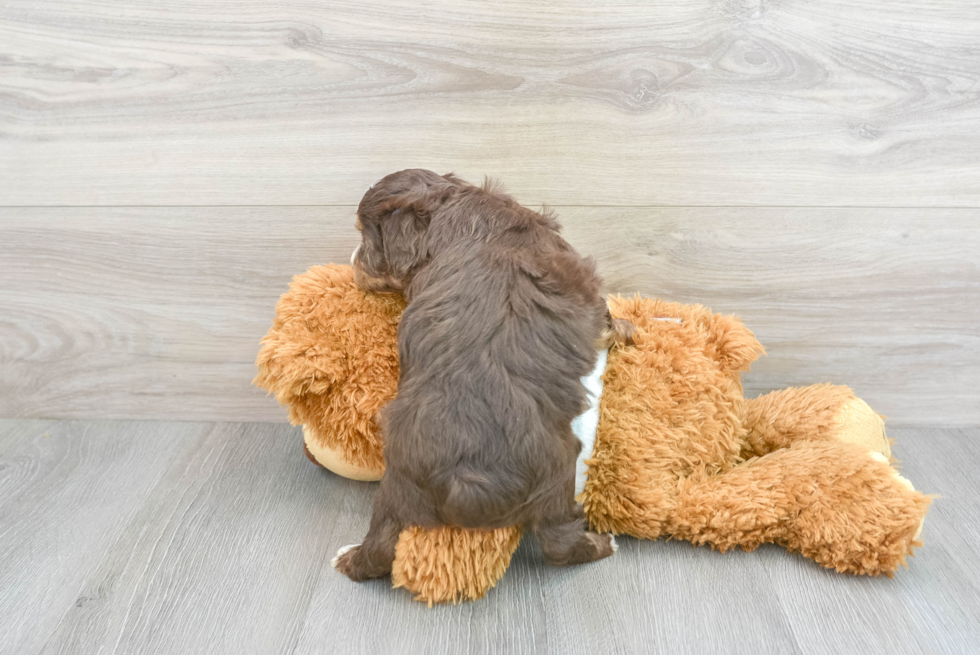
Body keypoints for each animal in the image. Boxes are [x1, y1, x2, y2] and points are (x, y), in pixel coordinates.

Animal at [334, 172, 632, 580]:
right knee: (558, 544)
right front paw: (628, 330)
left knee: (381, 542)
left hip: (396, 484)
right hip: (555, 474)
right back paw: (602, 544)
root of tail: (464, 481)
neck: (456, 208)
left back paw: (349, 557)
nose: (351, 261)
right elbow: (606, 317)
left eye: (365, 238)